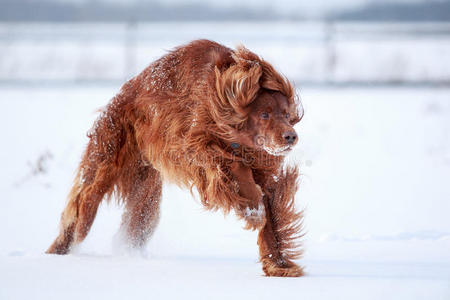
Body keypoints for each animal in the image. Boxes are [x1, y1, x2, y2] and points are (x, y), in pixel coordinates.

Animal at [46, 39, 306, 276]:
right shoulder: (194, 144)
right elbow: (236, 168)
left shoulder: (260, 168)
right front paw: (253, 210)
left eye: (286, 114)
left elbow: (270, 213)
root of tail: (123, 93)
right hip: (109, 153)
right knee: (85, 199)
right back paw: (67, 241)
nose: (291, 137)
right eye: (264, 114)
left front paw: (277, 264)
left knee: (135, 220)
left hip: (146, 188)